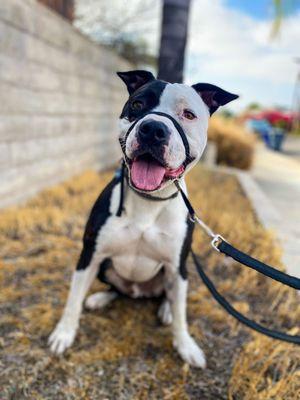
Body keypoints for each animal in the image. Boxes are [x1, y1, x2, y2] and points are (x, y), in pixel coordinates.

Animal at [48, 70, 238, 368]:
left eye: (188, 114)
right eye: (137, 104)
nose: (153, 129)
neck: (149, 201)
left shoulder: (176, 264)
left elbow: (182, 315)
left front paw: (185, 345)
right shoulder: (89, 254)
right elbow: (73, 299)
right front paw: (64, 333)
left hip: (177, 273)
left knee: (170, 296)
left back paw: (166, 310)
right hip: (104, 266)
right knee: (115, 289)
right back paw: (101, 298)